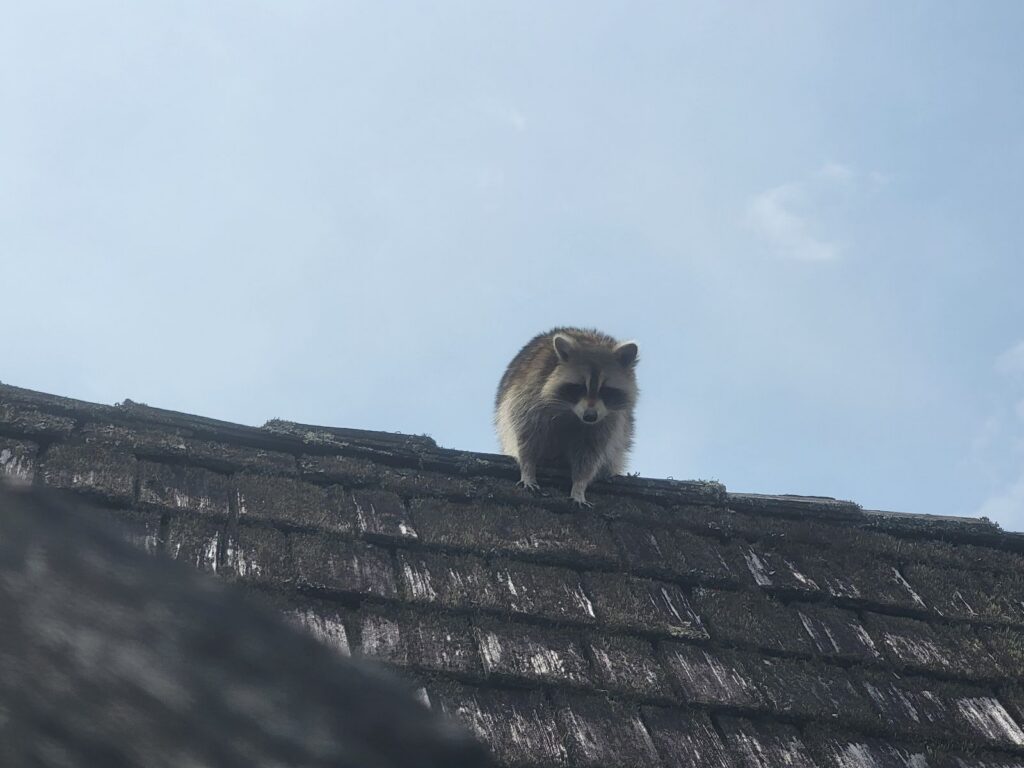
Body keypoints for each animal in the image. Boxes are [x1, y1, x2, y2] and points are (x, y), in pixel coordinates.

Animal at [495, 327, 639, 506]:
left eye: (606, 390)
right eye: (579, 387)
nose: (590, 416)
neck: (572, 412)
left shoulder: (608, 420)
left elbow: (589, 454)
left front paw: (579, 486)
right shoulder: (529, 395)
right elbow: (526, 437)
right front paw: (528, 469)